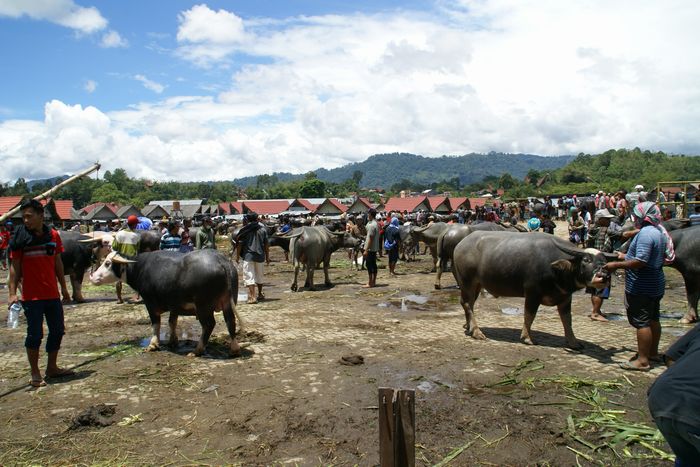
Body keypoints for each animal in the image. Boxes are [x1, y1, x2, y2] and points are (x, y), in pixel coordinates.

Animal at [89, 252, 242, 358]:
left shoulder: (150, 303)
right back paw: (234, 350)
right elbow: (172, 322)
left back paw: (197, 351)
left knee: (209, 325)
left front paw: (153, 344)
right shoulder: (174, 305)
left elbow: (156, 324)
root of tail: (222, 261)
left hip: (203, 307)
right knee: (230, 322)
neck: (139, 268)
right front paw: (172, 341)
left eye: (107, 263)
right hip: (228, 303)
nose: (92, 277)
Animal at [452, 232, 608, 350]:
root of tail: (461, 244)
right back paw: (477, 332)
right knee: (466, 303)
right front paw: (527, 338)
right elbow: (529, 315)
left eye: (604, 262)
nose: (603, 276)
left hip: (477, 284)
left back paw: (469, 326)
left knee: (470, 303)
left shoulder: (565, 296)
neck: (556, 269)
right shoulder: (533, 293)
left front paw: (574, 342)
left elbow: (567, 320)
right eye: (586, 260)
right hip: (466, 281)